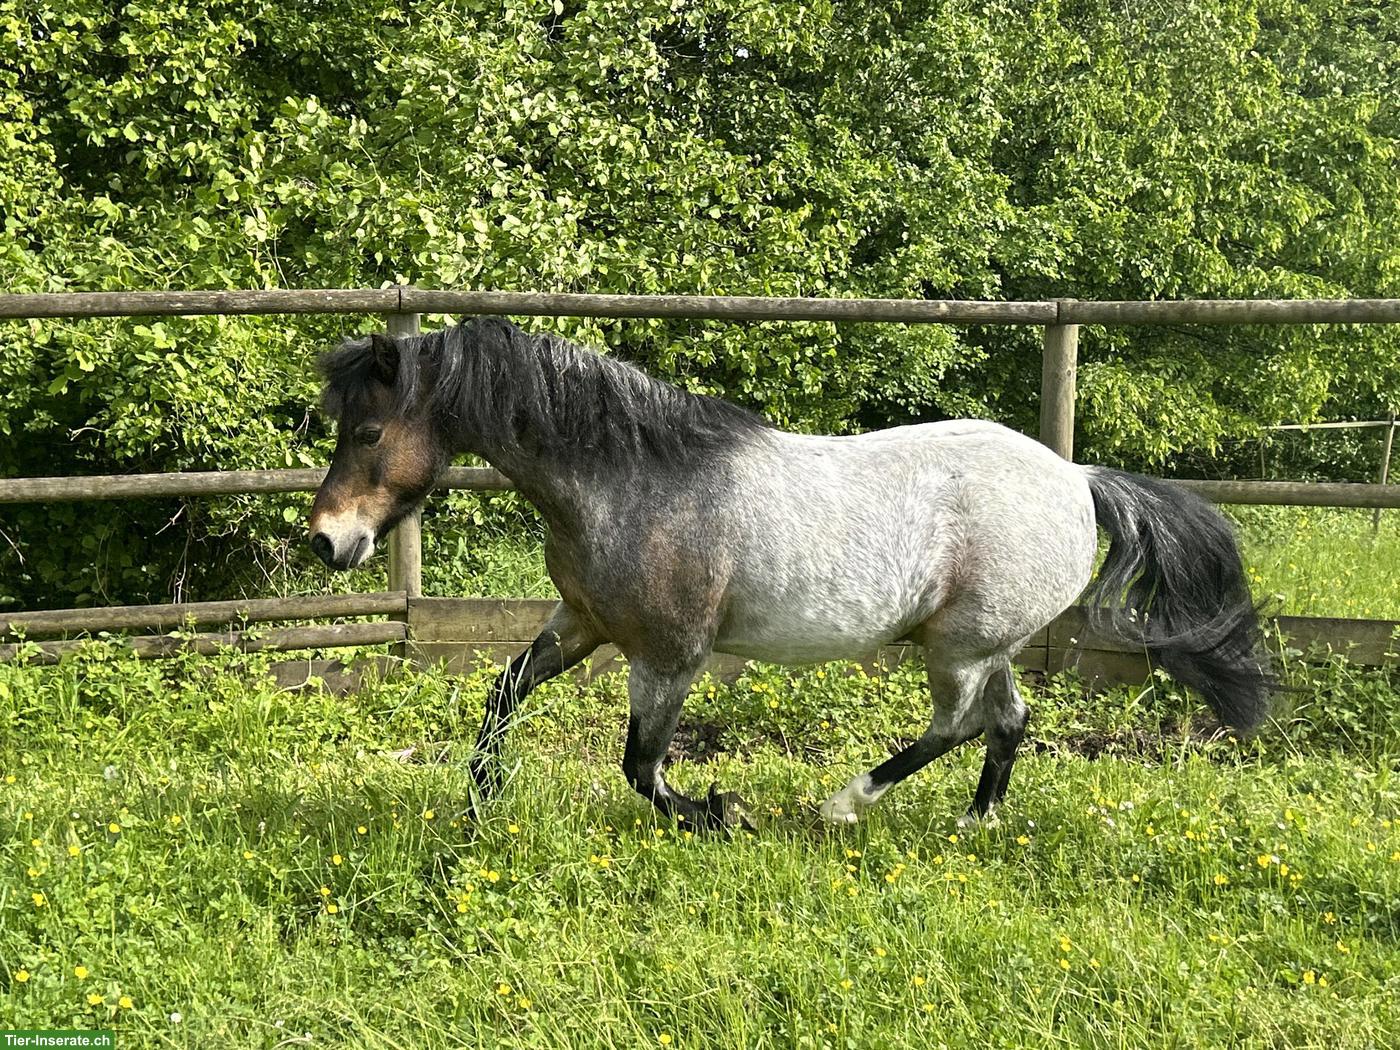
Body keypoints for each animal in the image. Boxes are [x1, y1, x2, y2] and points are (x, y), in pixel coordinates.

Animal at [308, 317, 1271, 832]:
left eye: (366, 431)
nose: (325, 542)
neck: (634, 482)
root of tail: (1078, 480)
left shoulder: (671, 656)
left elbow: (642, 766)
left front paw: (717, 811)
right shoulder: (581, 623)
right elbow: (504, 691)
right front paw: (479, 804)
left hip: (957, 648)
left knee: (959, 724)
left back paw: (843, 803)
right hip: (986, 644)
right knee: (1007, 722)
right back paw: (975, 820)